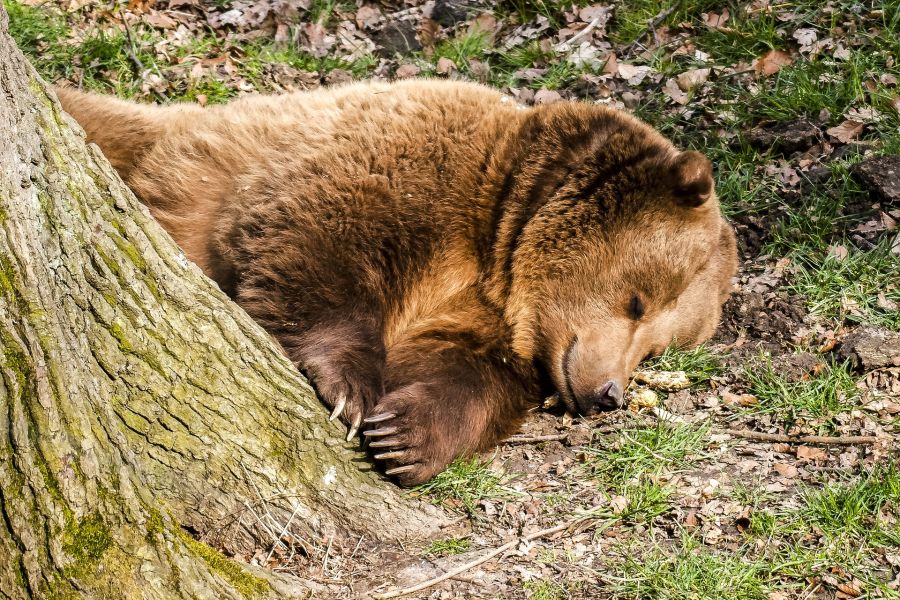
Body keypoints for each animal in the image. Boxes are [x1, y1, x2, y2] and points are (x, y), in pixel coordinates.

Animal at [56, 79, 736, 486]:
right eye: (638, 300)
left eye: (659, 346)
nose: (607, 393)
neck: (501, 243)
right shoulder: (409, 173)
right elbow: (318, 244)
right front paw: (349, 389)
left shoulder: (484, 319)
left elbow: (462, 373)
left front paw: (403, 438)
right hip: (138, 145)